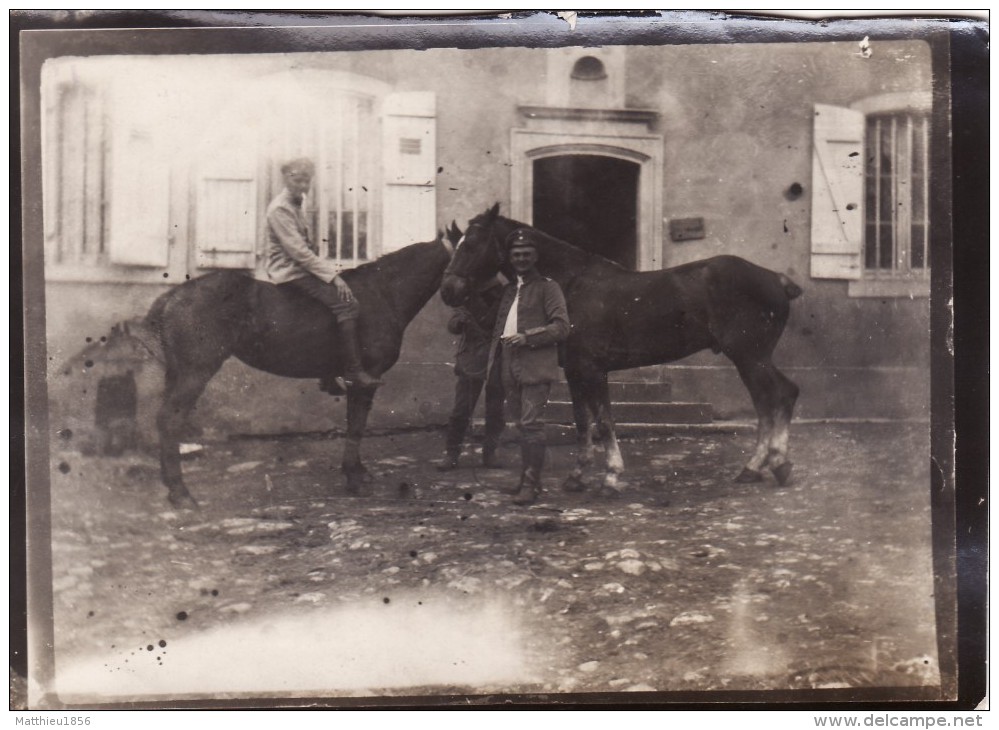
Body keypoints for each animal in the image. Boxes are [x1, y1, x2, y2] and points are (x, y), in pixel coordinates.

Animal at [141, 235, 454, 506]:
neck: (384, 293)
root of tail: (173, 296)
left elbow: (356, 423)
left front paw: (358, 472)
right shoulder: (365, 380)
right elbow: (356, 425)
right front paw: (354, 478)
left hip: (178, 374)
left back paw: (171, 487)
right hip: (194, 373)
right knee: (170, 420)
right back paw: (181, 493)